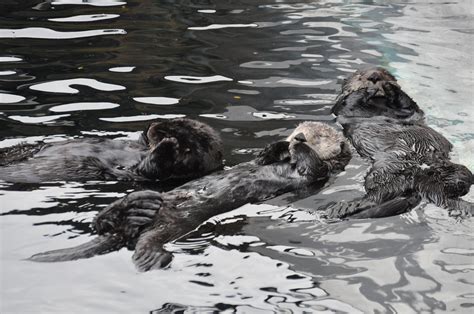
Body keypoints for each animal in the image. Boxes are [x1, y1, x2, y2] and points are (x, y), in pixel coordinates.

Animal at [0, 118, 224, 183]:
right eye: (175, 120)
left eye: (175, 129)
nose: (153, 127)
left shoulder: (156, 174)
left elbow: (151, 168)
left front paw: (169, 144)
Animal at [27, 121, 350, 272]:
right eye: (298, 128)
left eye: (321, 136)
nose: (299, 136)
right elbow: (268, 157)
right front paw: (275, 148)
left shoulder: (320, 174)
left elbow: (313, 167)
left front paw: (297, 149)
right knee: (106, 223)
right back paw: (126, 210)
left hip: (173, 225)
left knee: (146, 242)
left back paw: (150, 257)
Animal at [324, 67, 472, 218]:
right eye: (360, 76)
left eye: (385, 73)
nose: (374, 77)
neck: (377, 104)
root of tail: (419, 183)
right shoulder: (341, 108)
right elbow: (347, 102)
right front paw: (367, 90)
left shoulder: (411, 110)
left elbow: (407, 103)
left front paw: (389, 87)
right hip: (382, 173)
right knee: (375, 197)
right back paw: (342, 208)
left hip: (457, 171)